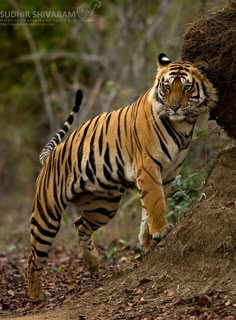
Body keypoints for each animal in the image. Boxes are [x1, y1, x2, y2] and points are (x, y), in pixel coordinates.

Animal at [26, 53, 218, 300]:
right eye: (166, 87)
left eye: (186, 87)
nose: (174, 107)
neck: (182, 124)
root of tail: (50, 155)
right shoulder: (148, 168)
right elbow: (156, 204)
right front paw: (160, 231)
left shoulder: (168, 174)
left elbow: (150, 207)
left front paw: (147, 240)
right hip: (47, 215)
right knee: (33, 257)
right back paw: (36, 294)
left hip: (103, 206)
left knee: (80, 224)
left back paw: (93, 264)